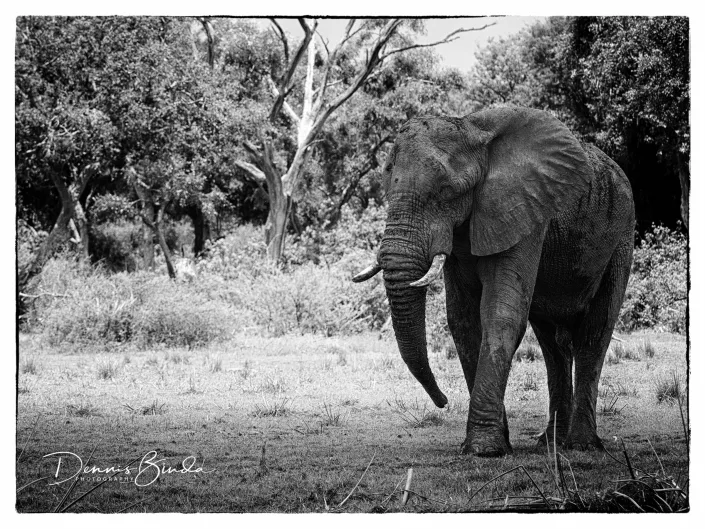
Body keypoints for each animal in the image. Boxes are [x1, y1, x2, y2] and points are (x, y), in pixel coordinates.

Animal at [353, 107, 635, 457]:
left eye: (447, 191)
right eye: (386, 183)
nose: (443, 402)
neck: (472, 130)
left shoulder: (524, 212)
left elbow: (501, 313)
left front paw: (484, 449)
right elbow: (462, 320)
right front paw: (495, 442)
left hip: (621, 235)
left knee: (595, 332)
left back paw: (581, 445)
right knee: (552, 344)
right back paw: (549, 443)